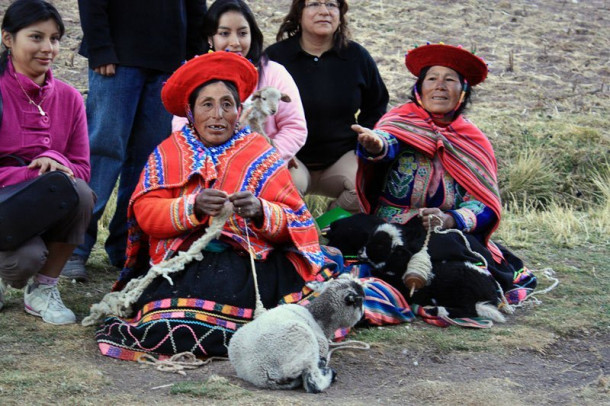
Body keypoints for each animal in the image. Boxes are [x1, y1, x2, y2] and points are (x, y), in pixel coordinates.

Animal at [227, 274, 360, 392]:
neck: (317, 318)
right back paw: (329, 373)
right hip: (303, 349)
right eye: (360, 301)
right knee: (312, 382)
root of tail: (262, 376)